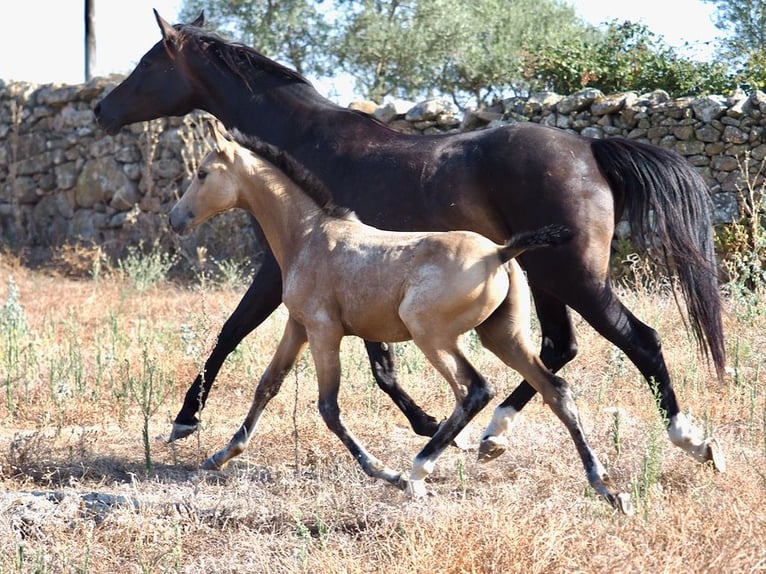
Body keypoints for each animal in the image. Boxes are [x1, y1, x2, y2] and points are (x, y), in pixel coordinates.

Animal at [94, 11, 726, 473]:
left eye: (148, 62)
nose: (101, 109)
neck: (302, 140)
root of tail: (591, 149)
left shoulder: (279, 274)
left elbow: (231, 333)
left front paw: (185, 419)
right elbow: (381, 365)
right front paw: (430, 429)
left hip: (573, 276)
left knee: (638, 339)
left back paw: (691, 439)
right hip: (543, 278)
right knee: (557, 349)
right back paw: (495, 434)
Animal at [167, 121, 633, 512]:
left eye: (203, 173)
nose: (175, 219)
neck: (310, 235)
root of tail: (500, 253)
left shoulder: (323, 331)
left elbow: (328, 408)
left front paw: (383, 472)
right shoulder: (298, 326)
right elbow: (268, 385)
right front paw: (220, 455)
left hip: (431, 334)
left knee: (474, 389)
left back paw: (417, 472)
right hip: (502, 336)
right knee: (556, 390)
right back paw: (607, 487)